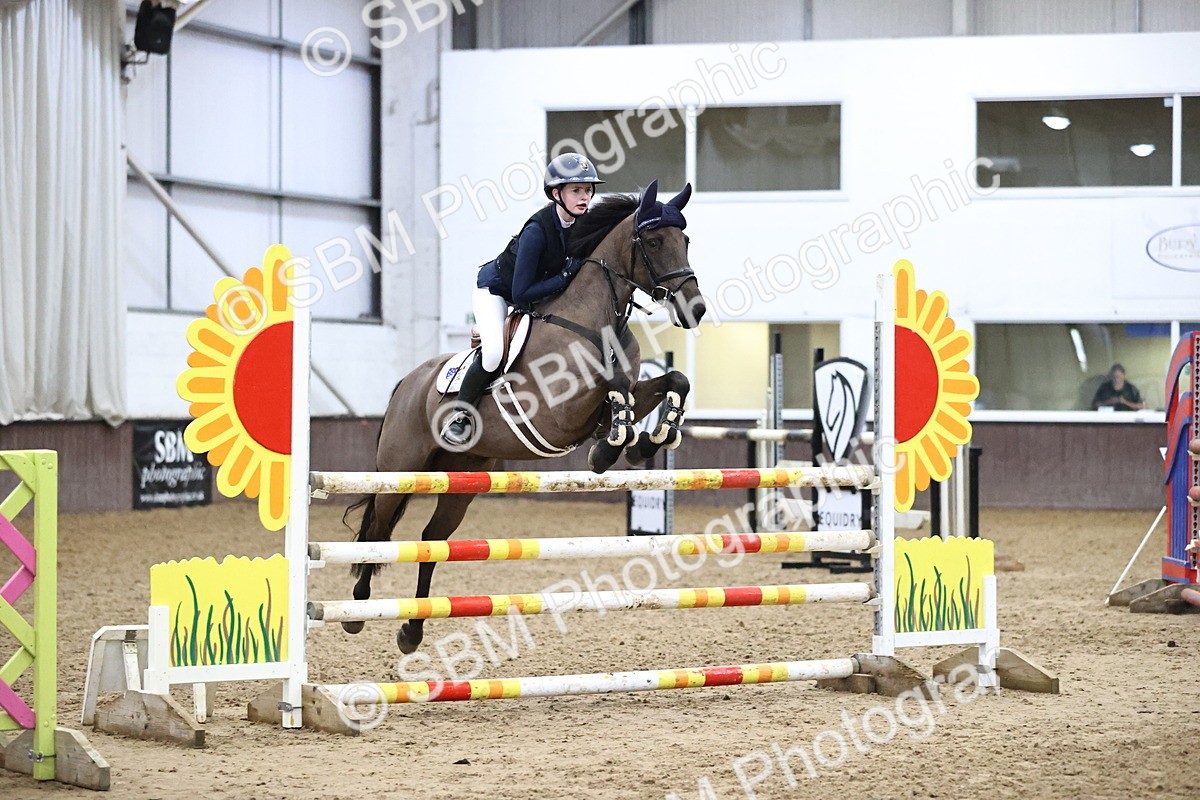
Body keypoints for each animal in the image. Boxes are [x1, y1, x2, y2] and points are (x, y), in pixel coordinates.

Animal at [343, 179, 706, 654]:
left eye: (686, 240)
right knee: (378, 530)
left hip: (462, 477)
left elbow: (671, 380)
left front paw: (647, 439)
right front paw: (609, 450)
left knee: (431, 540)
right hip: (400, 469)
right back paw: (356, 611)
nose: (695, 309)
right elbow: (611, 389)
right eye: (654, 241)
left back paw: (412, 630)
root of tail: (406, 382)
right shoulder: (559, 411)